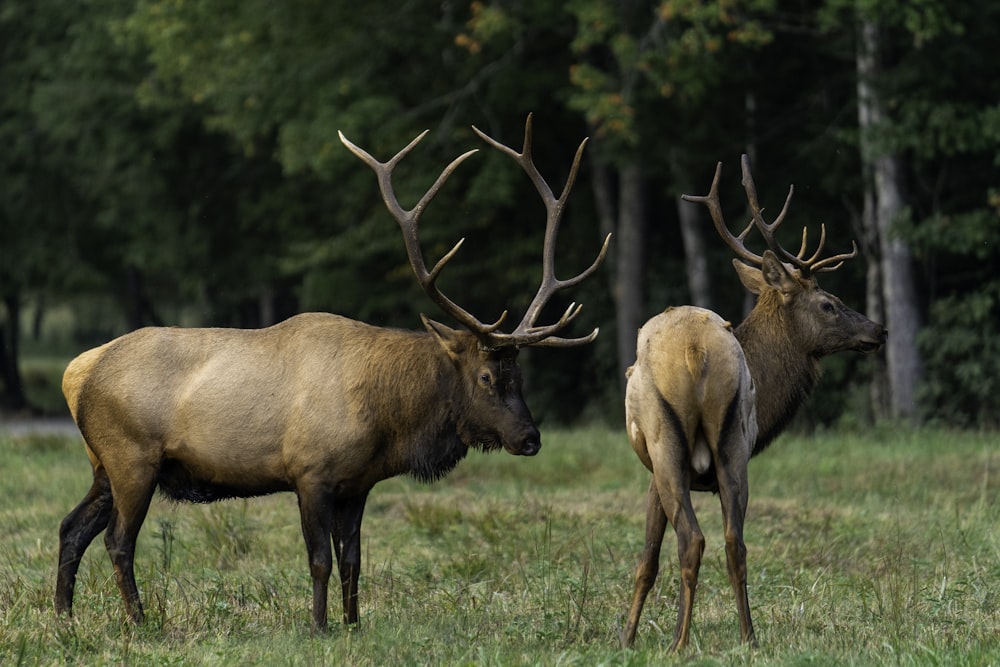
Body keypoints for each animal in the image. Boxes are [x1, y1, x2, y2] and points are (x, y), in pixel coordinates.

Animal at [58, 116, 612, 636]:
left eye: (519, 373)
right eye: (484, 377)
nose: (530, 437)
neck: (389, 423)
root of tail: (77, 372)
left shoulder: (357, 484)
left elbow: (353, 561)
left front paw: (354, 624)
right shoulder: (310, 472)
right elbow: (320, 560)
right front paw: (319, 626)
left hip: (102, 463)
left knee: (71, 527)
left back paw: (64, 617)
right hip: (132, 457)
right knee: (117, 541)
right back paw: (138, 621)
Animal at [620, 157, 888, 652]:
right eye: (829, 303)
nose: (879, 330)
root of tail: (696, 350)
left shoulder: (651, 474)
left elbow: (647, 558)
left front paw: (625, 637)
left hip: (668, 445)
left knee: (693, 540)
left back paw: (679, 642)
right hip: (732, 447)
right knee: (734, 543)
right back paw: (748, 637)